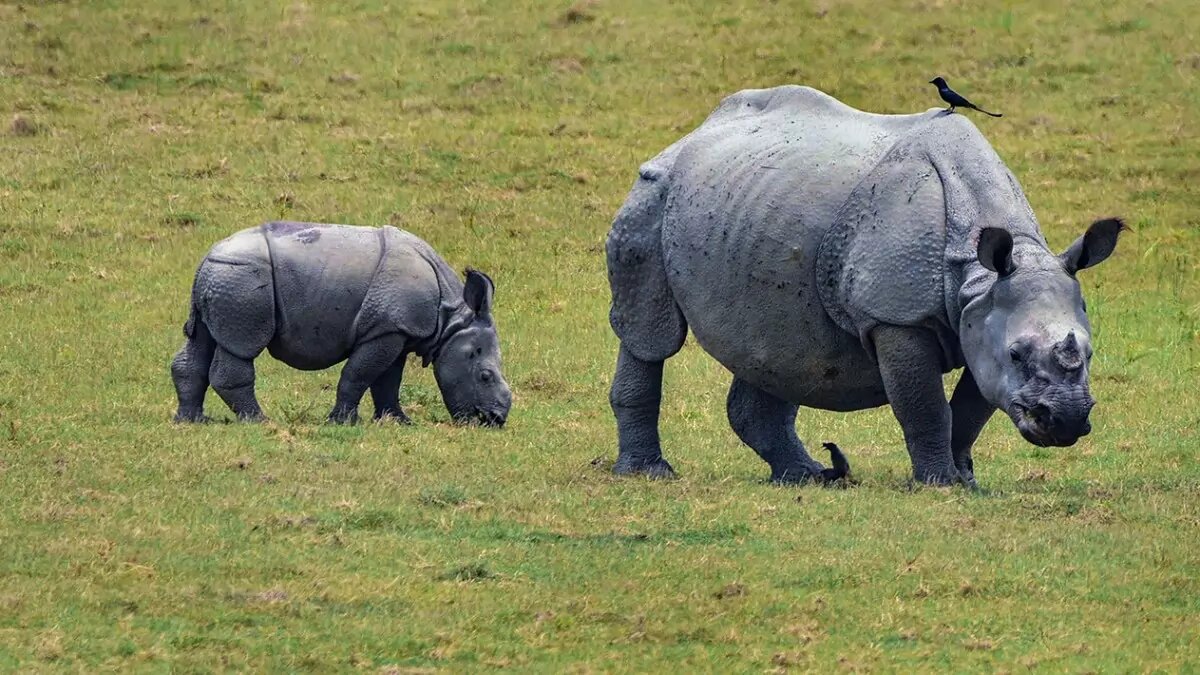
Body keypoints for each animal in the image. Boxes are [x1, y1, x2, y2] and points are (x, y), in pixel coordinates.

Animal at [170, 223, 511, 427]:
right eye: (485, 376)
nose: (495, 420)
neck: (450, 320)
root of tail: (207, 258)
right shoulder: (387, 329)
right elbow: (359, 374)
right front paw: (342, 422)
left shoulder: (395, 329)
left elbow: (388, 381)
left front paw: (398, 422)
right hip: (242, 280)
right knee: (241, 348)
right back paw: (258, 421)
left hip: (224, 279)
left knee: (203, 341)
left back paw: (191, 421)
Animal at [609, 85, 1123, 482]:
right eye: (1018, 354)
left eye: (1090, 352)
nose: (1066, 420)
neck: (975, 275)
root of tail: (694, 132)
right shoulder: (898, 318)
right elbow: (926, 407)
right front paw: (939, 484)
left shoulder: (980, 316)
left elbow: (971, 410)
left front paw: (965, 481)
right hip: (654, 191)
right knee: (650, 336)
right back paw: (650, 474)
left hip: (752, 209)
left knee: (773, 346)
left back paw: (806, 477)